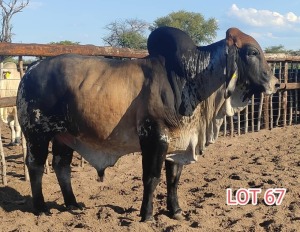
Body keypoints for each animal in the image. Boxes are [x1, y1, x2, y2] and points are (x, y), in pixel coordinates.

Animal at [15, 26, 278, 221]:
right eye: (252, 52)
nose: (275, 83)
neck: (189, 78)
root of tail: (31, 69)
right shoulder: (154, 137)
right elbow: (151, 178)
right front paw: (147, 215)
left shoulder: (178, 142)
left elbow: (174, 179)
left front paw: (176, 211)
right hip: (37, 134)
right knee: (36, 166)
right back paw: (41, 208)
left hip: (64, 136)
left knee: (62, 166)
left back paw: (72, 204)